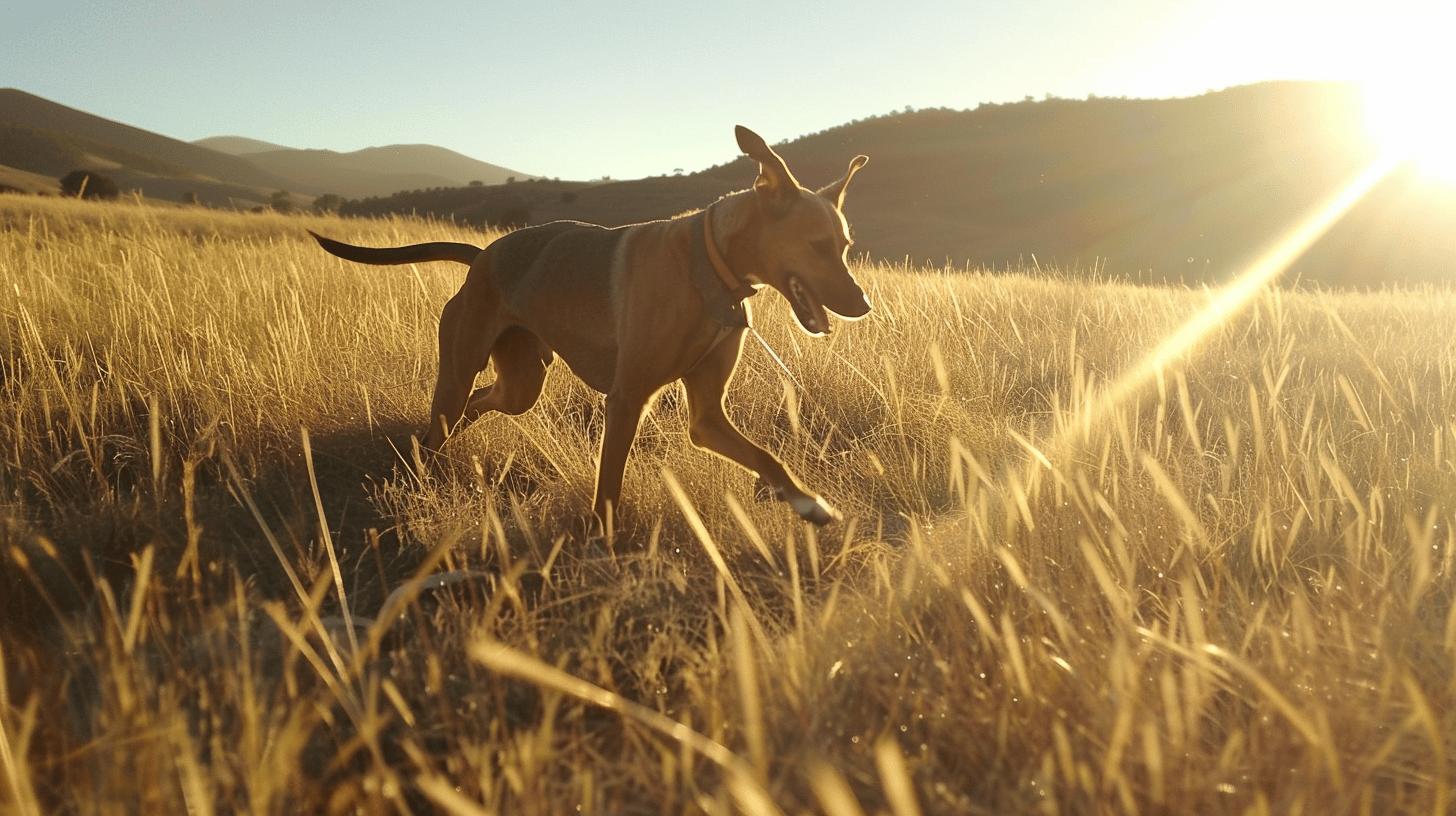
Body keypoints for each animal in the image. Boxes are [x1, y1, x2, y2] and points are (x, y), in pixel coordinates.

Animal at [308, 124, 867, 524]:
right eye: (819, 246)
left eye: (845, 246)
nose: (863, 304)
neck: (709, 267)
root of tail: (482, 257)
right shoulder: (626, 399)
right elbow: (609, 493)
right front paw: (607, 548)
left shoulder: (707, 417)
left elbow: (769, 459)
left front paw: (809, 503)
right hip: (464, 368)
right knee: (444, 420)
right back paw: (421, 470)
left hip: (521, 383)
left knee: (479, 403)